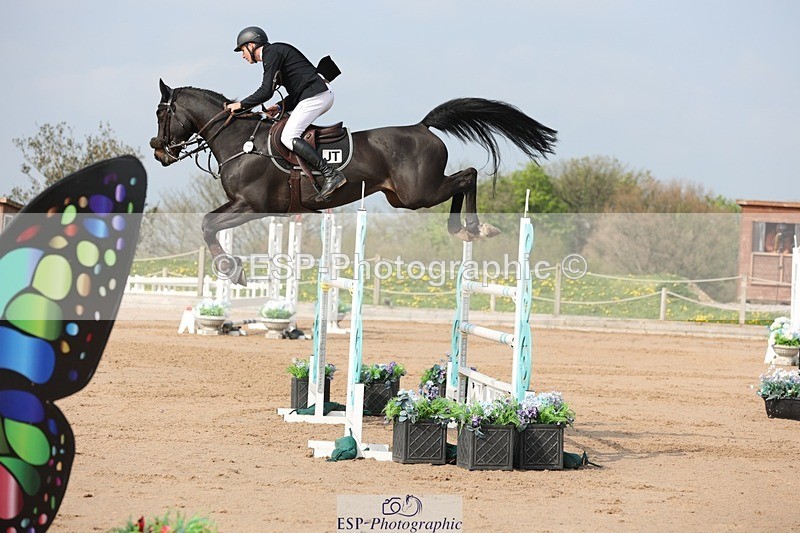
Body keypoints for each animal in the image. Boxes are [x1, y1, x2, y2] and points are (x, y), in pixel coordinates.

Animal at [150, 79, 556, 285]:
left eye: (161, 114)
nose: (159, 151)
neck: (241, 140)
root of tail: (422, 126)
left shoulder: (252, 206)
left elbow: (207, 225)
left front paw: (232, 271)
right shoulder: (243, 206)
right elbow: (207, 223)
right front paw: (233, 268)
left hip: (418, 193)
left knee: (467, 176)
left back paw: (473, 226)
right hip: (402, 198)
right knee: (461, 180)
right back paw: (464, 230)